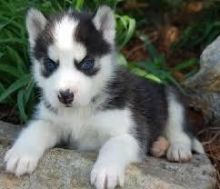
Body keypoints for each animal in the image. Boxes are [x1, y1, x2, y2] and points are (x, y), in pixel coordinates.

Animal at [4, 5, 205, 189]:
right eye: (50, 63)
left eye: (87, 63)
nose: (65, 96)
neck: (80, 111)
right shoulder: (50, 120)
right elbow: (36, 129)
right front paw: (21, 153)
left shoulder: (130, 132)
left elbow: (114, 145)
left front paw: (106, 171)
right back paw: (159, 146)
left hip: (171, 97)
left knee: (180, 130)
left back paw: (178, 148)